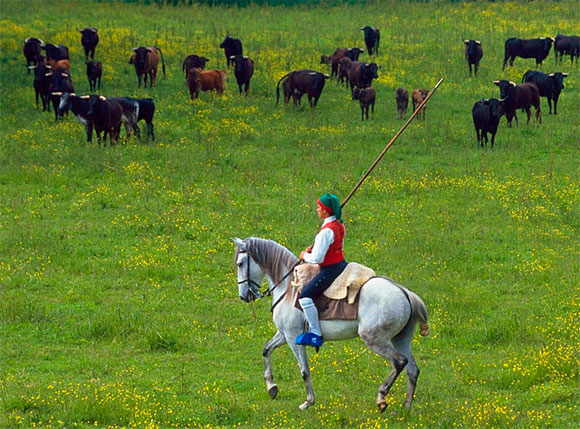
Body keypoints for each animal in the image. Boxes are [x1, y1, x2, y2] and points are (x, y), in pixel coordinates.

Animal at [232, 236, 430, 410]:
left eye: (240, 263)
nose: (243, 296)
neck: (288, 288)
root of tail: (405, 292)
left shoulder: (293, 337)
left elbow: (304, 370)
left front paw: (308, 402)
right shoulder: (284, 334)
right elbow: (266, 350)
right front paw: (272, 388)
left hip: (375, 339)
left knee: (399, 362)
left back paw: (382, 398)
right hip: (400, 339)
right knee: (412, 370)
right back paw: (406, 408)